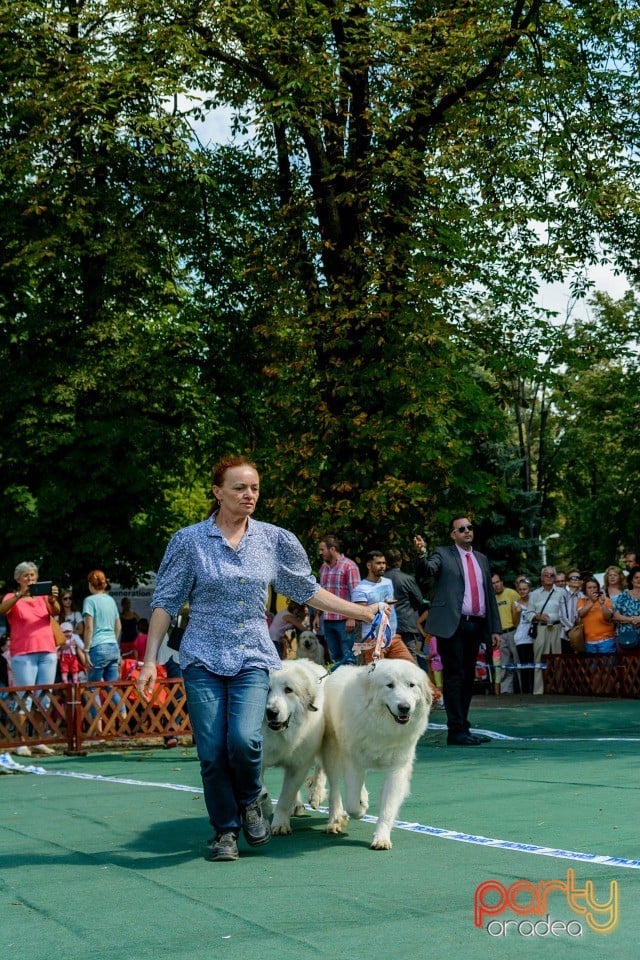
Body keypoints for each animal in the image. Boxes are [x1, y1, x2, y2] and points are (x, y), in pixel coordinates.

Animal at [262, 660, 328, 832]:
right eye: (266, 689)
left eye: (288, 690)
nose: (271, 712)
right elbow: (259, 788)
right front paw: (265, 806)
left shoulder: (300, 765)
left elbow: (286, 797)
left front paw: (280, 824)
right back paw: (297, 804)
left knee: (320, 769)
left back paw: (316, 794)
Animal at [322, 660, 432, 848]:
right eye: (390, 685)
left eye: (411, 685)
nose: (404, 708)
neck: (383, 727)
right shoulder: (354, 763)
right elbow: (352, 805)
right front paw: (359, 810)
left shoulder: (398, 768)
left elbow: (388, 808)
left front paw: (381, 838)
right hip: (333, 754)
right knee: (335, 789)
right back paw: (335, 819)